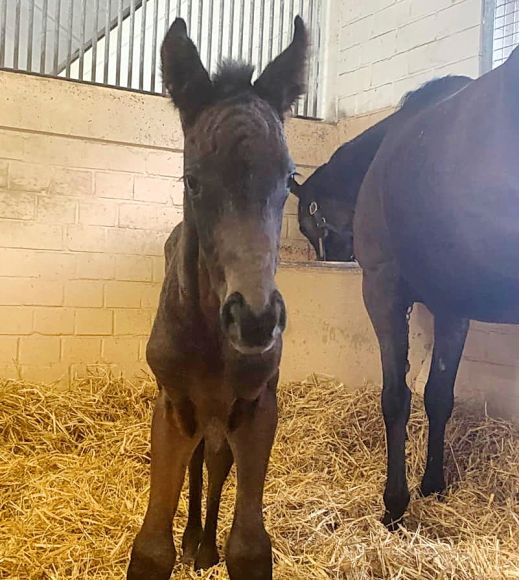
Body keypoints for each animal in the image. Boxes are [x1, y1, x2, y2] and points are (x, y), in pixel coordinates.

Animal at [358, 48, 519, 532]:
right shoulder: (453, 309)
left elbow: (396, 397)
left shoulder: (382, 289)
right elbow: (438, 396)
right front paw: (433, 484)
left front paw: (395, 503)